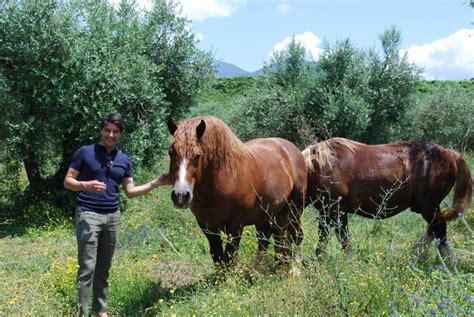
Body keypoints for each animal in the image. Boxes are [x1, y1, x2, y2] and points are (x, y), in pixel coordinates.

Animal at [167, 116, 308, 272]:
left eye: (197, 156)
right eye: (171, 153)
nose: (180, 196)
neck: (226, 176)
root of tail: (291, 149)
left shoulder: (236, 224)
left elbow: (230, 255)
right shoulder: (206, 225)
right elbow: (217, 255)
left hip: (293, 210)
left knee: (295, 237)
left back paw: (293, 271)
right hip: (269, 214)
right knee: (269, 239)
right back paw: (268, 269)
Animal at [302, 138, 472, 260]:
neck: (317, 166)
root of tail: (449, 154)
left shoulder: (337, 211)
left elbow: (343, 239)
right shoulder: (325, 212)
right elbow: (322, 239)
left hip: (428, 206)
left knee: (439, 229)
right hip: (429, 208)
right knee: (434, 229)